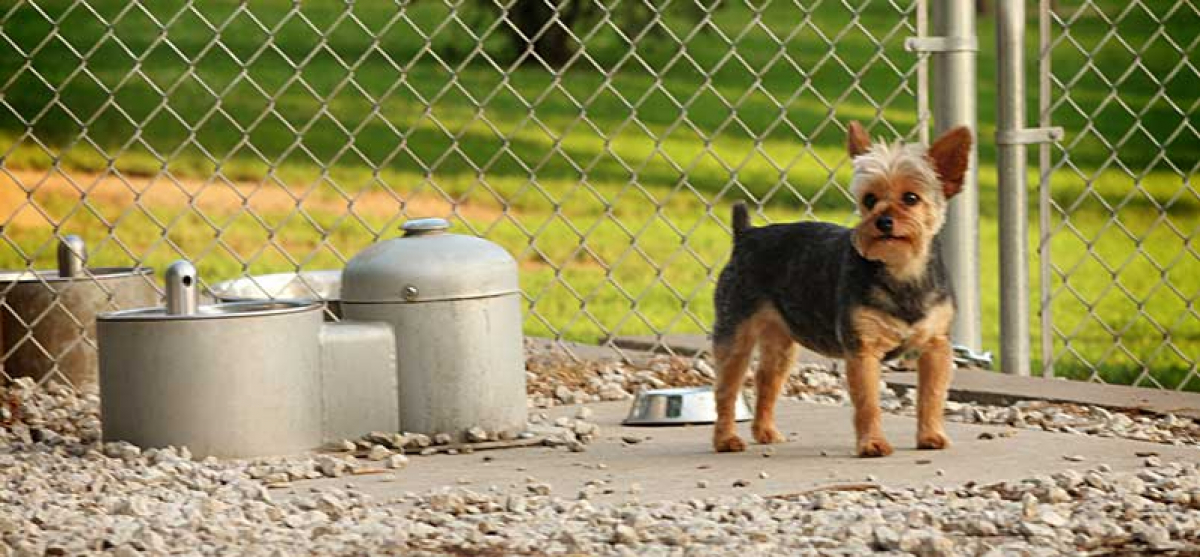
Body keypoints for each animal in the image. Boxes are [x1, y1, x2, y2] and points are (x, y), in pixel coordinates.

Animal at [710, 121, 974, 456]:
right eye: (869, 199)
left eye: (911, 198)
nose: (883, 221)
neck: (901, 270)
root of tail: (745, 235)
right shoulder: (862, 350)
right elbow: (868, 402)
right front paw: (873, 444)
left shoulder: (935, 346)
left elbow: (931, 396)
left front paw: (930, 436)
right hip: (736, 334)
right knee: (726, 389)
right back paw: (726, 439)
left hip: (781, 342)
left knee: (765, 381)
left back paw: (766, 431)